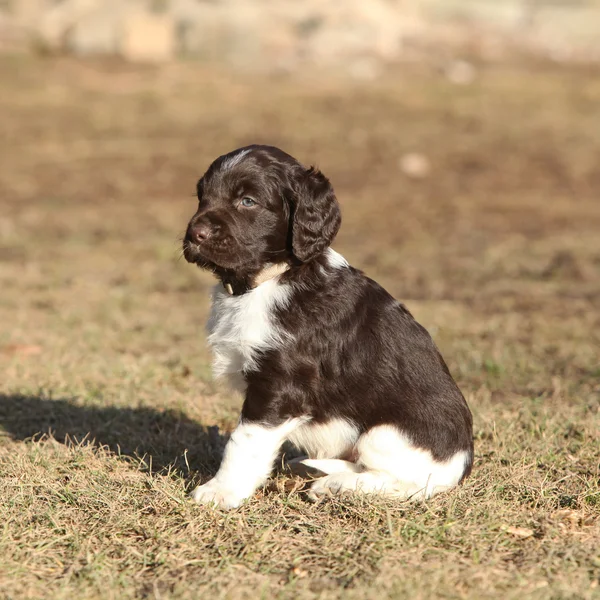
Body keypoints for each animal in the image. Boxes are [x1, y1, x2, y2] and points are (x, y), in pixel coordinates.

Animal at [183, 144, 474, 506]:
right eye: (201, 196)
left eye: (247, 201)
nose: (195, 234)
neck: (272, 279)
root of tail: (461, 465)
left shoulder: (280, 387)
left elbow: (243, 441)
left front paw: (220, 491)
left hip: (386, 434)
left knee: (407, 482)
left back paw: (336, 485)